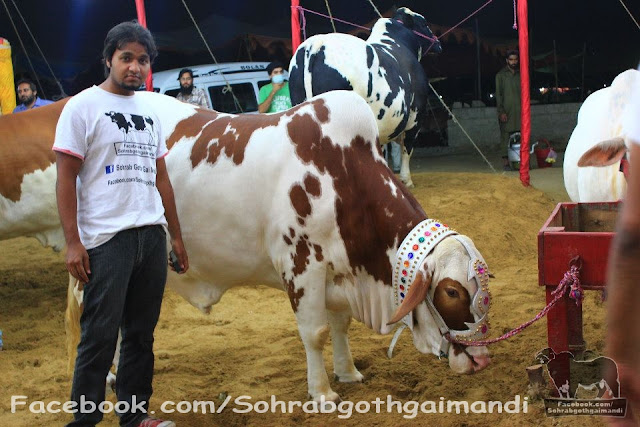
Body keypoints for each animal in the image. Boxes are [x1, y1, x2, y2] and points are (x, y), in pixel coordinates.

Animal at [0, 91, 492, 404]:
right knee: (92, 323)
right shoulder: (301, 265)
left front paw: (348, 372)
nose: (483, 358)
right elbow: (314, 333)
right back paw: (103, 378)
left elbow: (338, 326)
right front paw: (322, 392)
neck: (343, 177)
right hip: (93, 266)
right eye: (451, 291)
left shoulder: (335, 271)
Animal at [288, 6, 440, 187]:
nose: (438, 43)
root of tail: (316, 44)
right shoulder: (416, 114)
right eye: (424, 23)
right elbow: (407, 148)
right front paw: (406, 180)